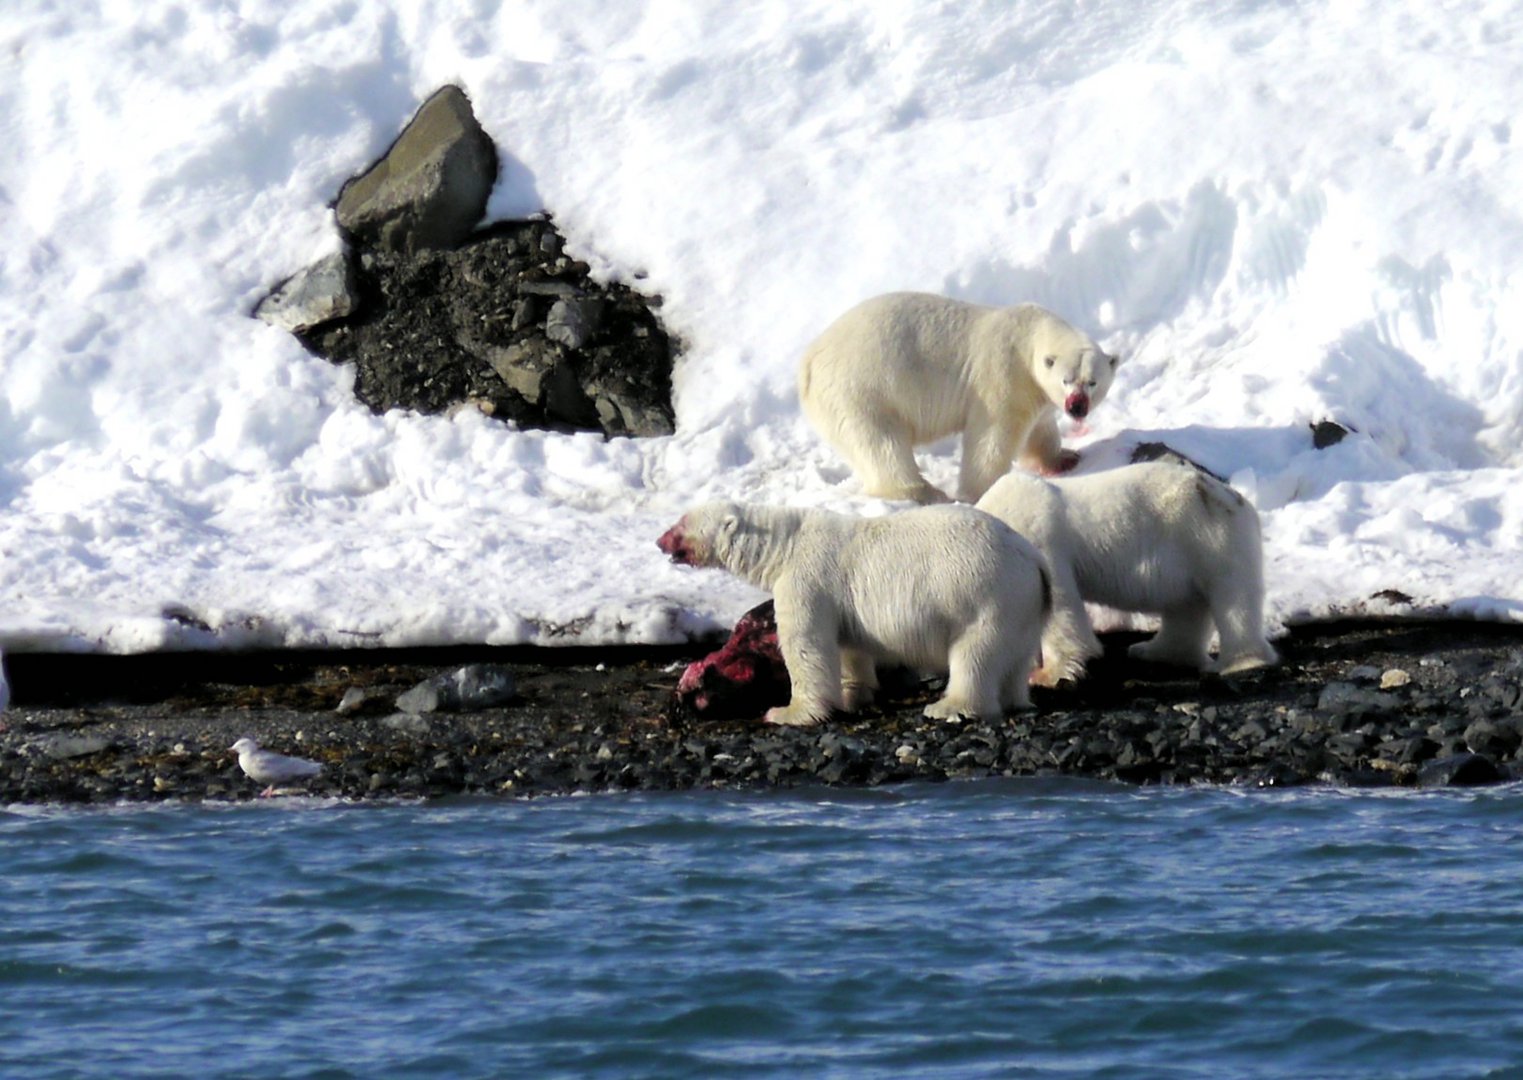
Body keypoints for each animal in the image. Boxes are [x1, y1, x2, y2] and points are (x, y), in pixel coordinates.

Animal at [654, 499, 1060, 725]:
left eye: (682, 523)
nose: (658, 540)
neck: (784, 545)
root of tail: (1035, 560)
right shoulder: (841, 600)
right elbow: (849, 647)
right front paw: (854, 695)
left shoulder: (806, 580)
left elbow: (806, 645)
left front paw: (788, 713)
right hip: (1022, 604)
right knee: (1016, 655)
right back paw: (1016, 700)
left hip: (984, 593)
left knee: (975, 653)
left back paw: (950, 706)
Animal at [798, 287, 1120, 502]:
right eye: (1067, 380)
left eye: (1092, 382)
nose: (1077, 407)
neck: (1029, 335)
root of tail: (809, 361)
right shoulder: (1004, 374)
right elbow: (993, 436)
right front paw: (978, 492)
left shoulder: (1035, 391)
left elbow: (1040, 429)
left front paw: (1064, 458)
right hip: (861, 390)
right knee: (881, 442)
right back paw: (924, 492)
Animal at [968, 460, 1279, 682]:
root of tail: (1239, 500)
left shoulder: (1041, 540)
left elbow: (1059, 605)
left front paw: (1047, 674)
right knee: (1187, 606)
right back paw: (1153, 651)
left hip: (1210, 537)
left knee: (1234, 599)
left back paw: (1237, 662)